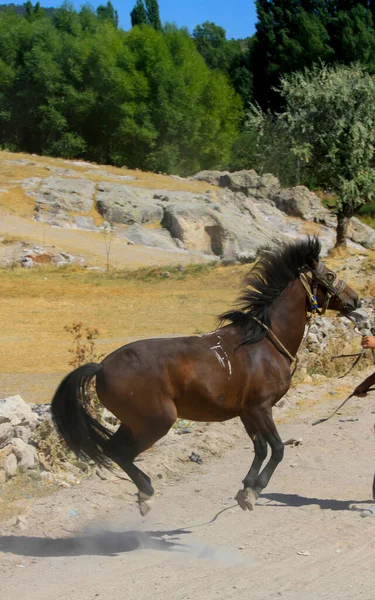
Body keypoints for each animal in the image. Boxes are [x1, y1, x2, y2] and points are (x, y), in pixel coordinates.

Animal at [51, 238, 360, 516]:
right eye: (329, 275)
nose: (356, 300)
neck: (263, 343)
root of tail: (101, 367)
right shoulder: (261, 407)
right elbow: (278, 448)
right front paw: (255, 490)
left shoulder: (247, 411)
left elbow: (260, 448)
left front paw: (246, 488)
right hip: (155, 422)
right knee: (119, 452)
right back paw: (146, 493)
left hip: (134, 422)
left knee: (113, 449)